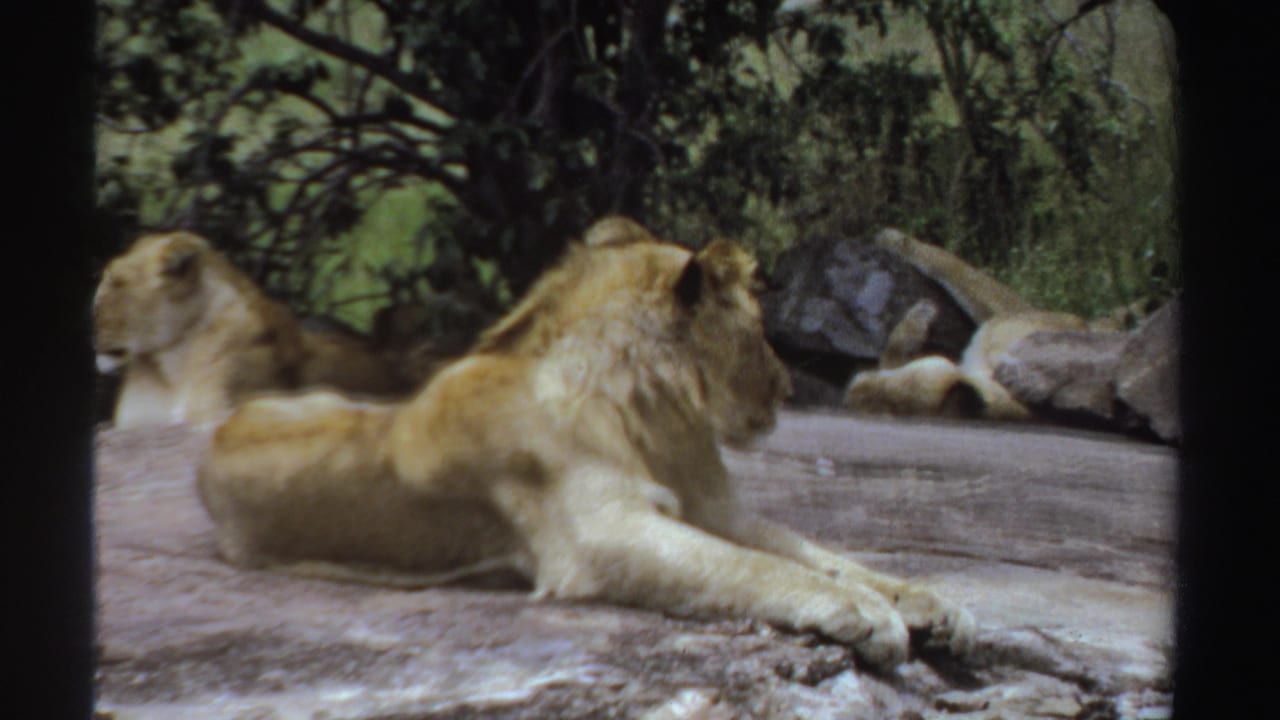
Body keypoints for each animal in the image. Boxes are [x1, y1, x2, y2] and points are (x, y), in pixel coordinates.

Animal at [196, 218, 975, 671]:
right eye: (760, 332)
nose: (787, 388)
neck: (654, 414)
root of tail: (220, 433)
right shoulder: (601, 534)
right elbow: (756, 568)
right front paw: (867, 616)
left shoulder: (714, 509)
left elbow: (821, 553)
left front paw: (930, 604)